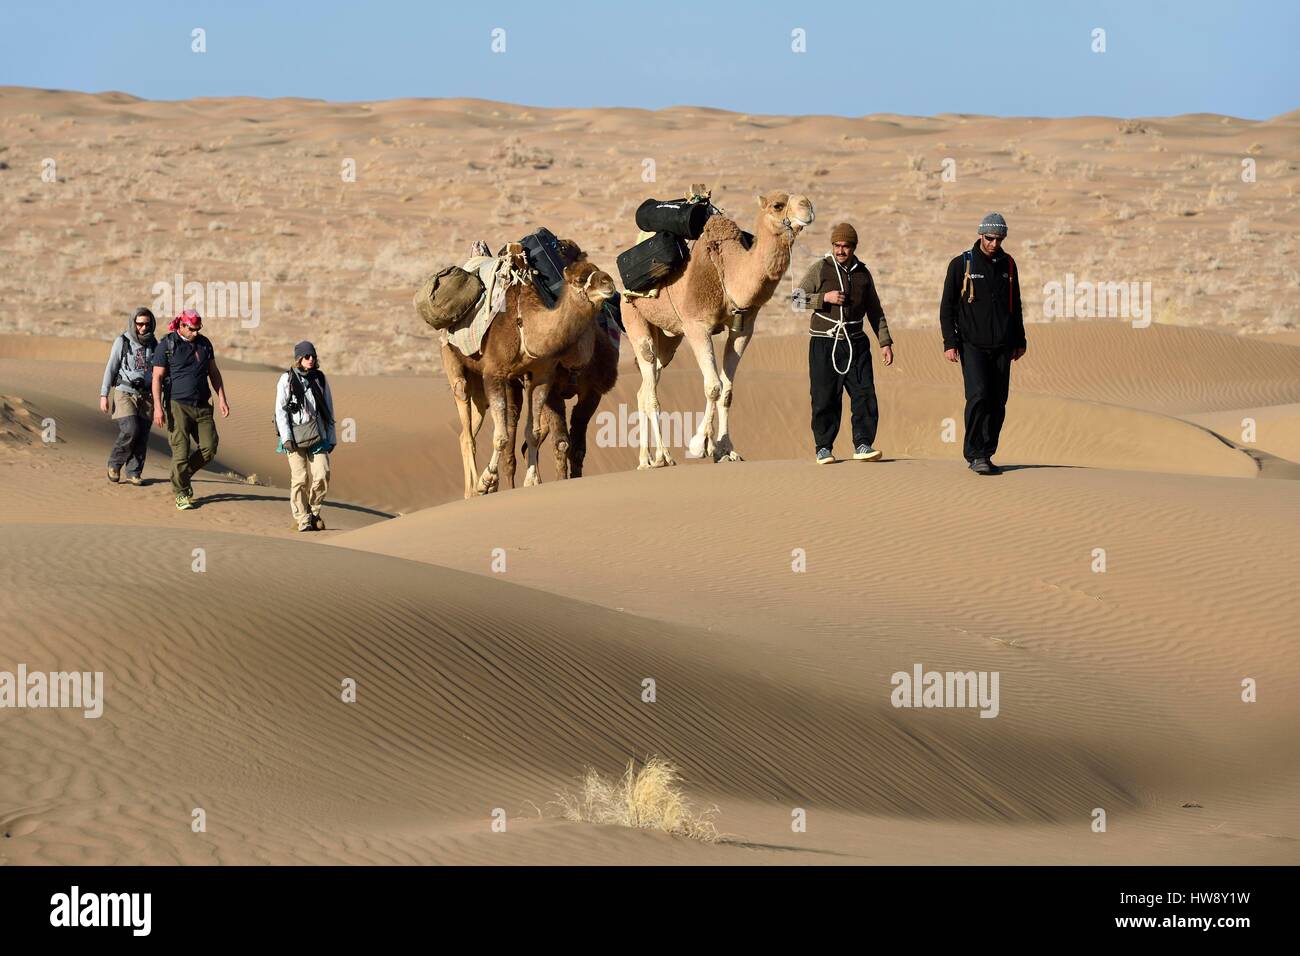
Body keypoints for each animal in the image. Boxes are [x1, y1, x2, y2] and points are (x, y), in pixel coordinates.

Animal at [439, 251, 616, 496]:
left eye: (598, 270)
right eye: (580, 280)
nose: (609, 283)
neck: (526, 327)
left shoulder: (542, 377)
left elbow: (533, 433)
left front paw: (531, 482)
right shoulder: (494, 374)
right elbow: (501, 437)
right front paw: (487, 480)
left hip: (478, 383)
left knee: (469, 428)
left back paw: (473, 491)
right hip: (452, 359)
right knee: (466, 423)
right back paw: (475, 489)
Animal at [618, 191, 811, 468]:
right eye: (778, 205)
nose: (808, 208)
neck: (729, 271)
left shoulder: (743, 329)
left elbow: (727, 391)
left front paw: (727, 450)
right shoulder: (696, 326)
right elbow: (714, 387)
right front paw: (700, 445)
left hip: (668, 339)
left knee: (645, 388)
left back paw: (649, 459)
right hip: (635, 319)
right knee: (649, 382)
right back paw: (663, 456)